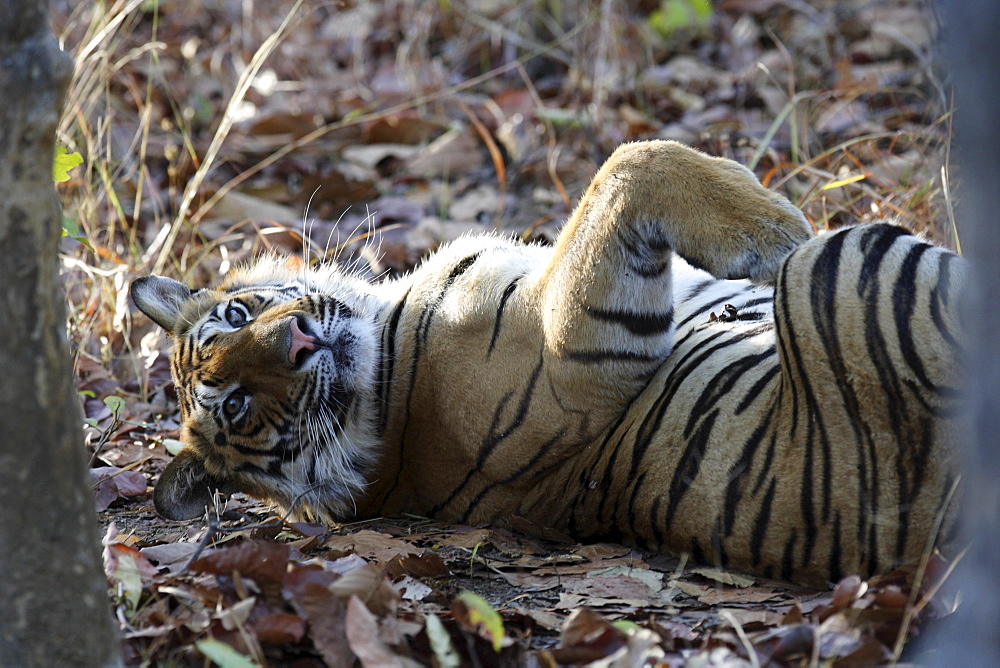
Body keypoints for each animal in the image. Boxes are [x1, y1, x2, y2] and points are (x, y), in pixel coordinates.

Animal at [129, 141, 964, 584]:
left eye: (237, 318)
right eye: (236, 405)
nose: (301, 345)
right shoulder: (578, 355)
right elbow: (625, 167)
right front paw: (769, 221)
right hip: (854, 263)